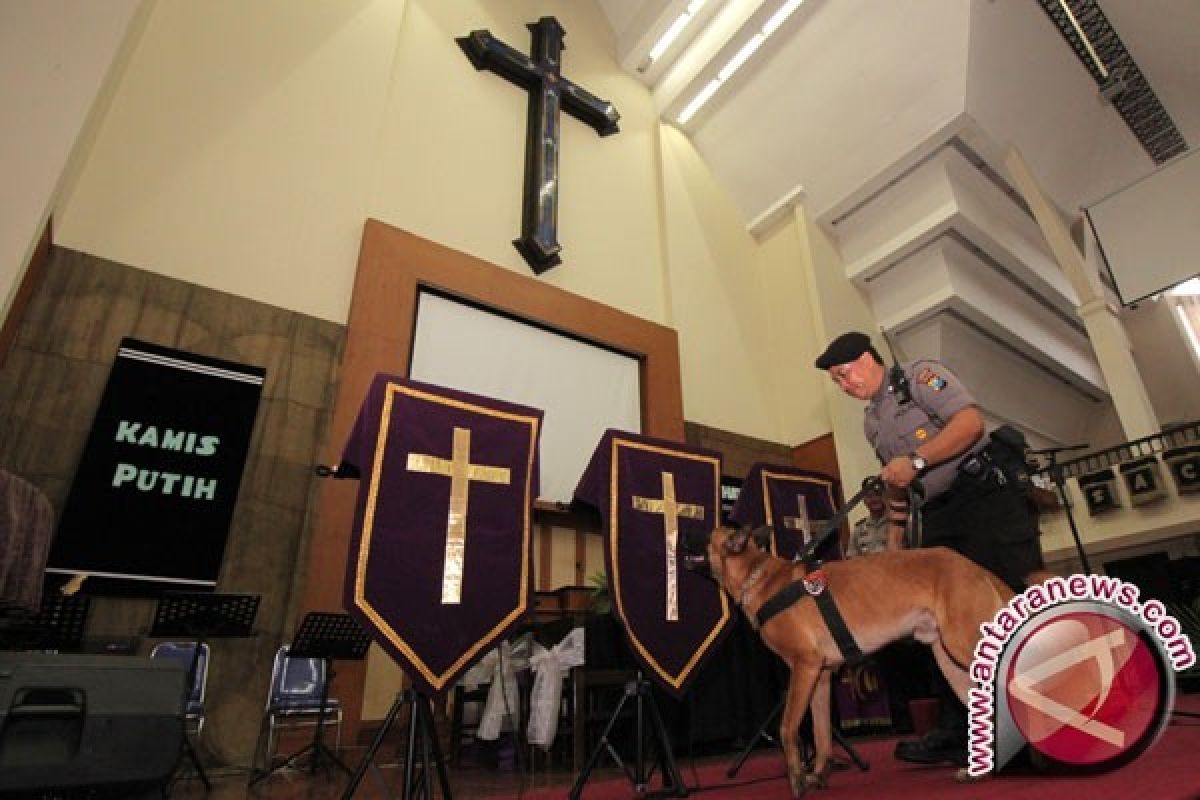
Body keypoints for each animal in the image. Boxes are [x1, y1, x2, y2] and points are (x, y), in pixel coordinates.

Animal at [691, 527, 1017, 796]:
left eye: (705, 535)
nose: (682, 533)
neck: (758, 577)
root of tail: (974, 567)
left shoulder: (804, 666)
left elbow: (787, 728)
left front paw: (796, 778)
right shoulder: (820, 676)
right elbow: (821, 734)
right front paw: (818, 775)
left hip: (964, 647)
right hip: (951, 662)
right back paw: (979, 771)